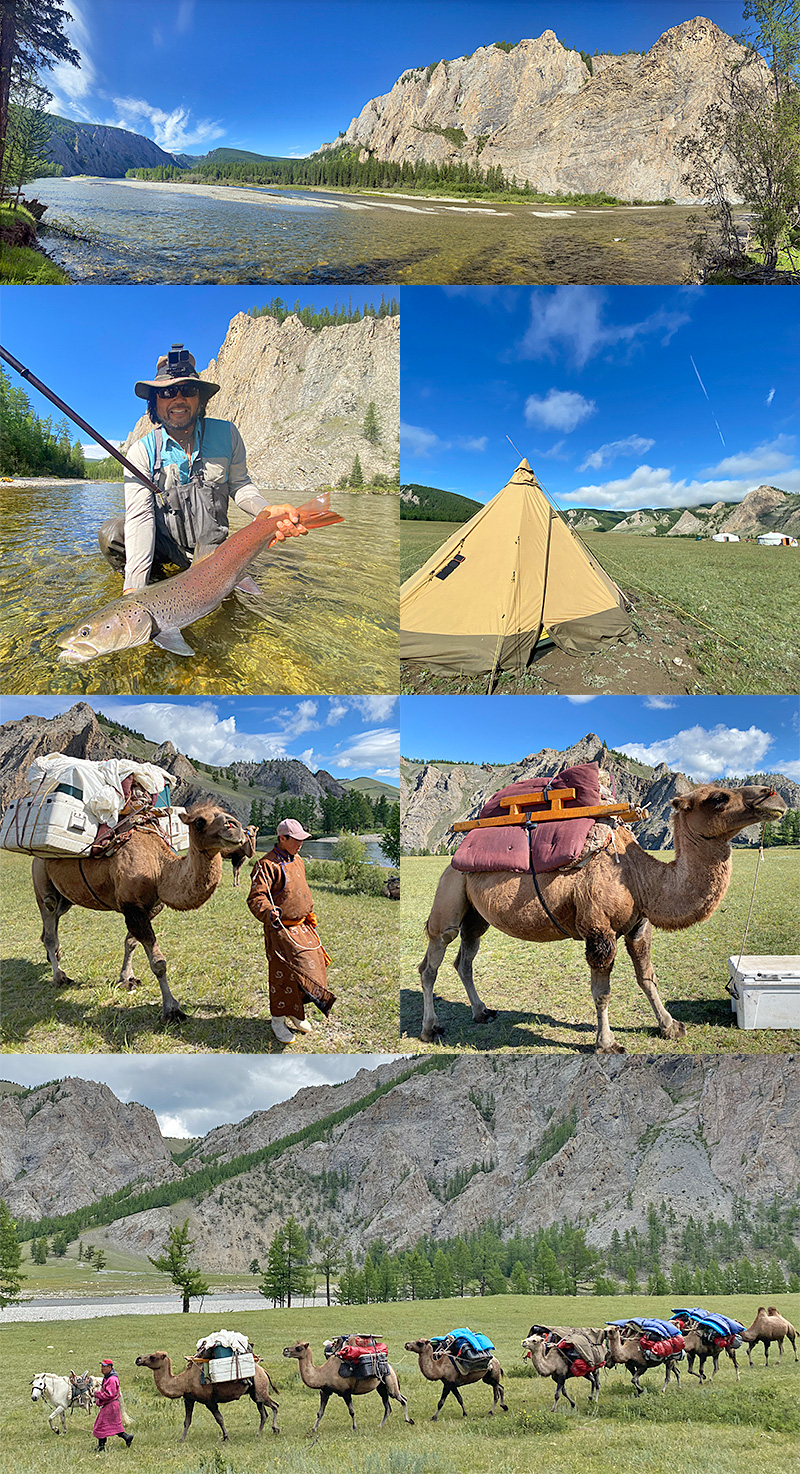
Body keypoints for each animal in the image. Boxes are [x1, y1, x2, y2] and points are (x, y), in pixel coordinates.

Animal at [33, 807, 247, 1025]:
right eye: (199, 821)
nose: (236, 827)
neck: (160, 868)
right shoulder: (133, 908)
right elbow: (159, 964)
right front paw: (172, 1010)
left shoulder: (150, 908)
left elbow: (130, 943)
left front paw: (127, 979)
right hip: (42, 883)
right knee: (49, 921)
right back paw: (60, 977)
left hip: (66, 898)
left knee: (53, 922)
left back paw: (54, 957)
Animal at [134, 1350, 278, 1438]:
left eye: (153, 1357)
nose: (138, 1359)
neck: (183, 1381)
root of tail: (264, 1371)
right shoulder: (189, 1399)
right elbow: (187, 1421)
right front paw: (181, 1439)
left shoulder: (209, 1401)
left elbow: (219, 1418)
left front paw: (225, 1437)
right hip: (255, 1393)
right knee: (263, 1412)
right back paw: (258, 1434)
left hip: (260, 1388)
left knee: (275, 1405)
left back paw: (275, 1429)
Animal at [284, 1338, 415, 1426]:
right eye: (295, 1345)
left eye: (299, 1348)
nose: (285, 1350)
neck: (322, 1373)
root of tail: (392, 1368)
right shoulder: (325, 1391)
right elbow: (320, 1412)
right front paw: (313, 1429)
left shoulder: (345, 1392)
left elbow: (351, 1411)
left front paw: (354, 1427)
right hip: (382, 1387)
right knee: (389, 1406)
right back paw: (380, 1425)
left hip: (389, 1381)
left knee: (401, 1399)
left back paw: (408, 1420)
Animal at [418, 784, 789, 1049]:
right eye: (719, 798)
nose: (773, 796)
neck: (639, 877)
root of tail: (457, 853)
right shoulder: (599, 931)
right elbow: (602, 992)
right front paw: (607, 1043)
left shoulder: (638, 926)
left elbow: (647, 978)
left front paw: (670, 1026)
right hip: (449, 893)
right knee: (432, 960)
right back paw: (430, 1028)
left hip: (476, 915)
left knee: (464, 959)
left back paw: (481, 1012)